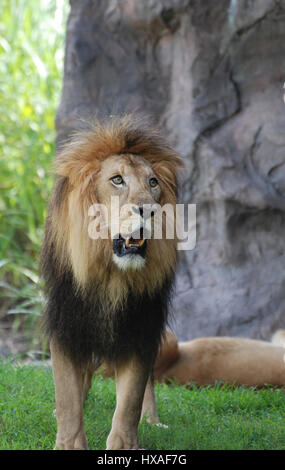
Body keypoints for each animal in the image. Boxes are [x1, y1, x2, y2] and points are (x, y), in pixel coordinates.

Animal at [40, 115, 182, 450]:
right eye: (117, 180)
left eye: (153, 182)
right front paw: (69, 442)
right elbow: (67, 396)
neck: (112, 275)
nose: (150, 210)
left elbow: (130, 398)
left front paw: (124, 445)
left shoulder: (141, 327)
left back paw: (152, 420)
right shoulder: (67, 323)